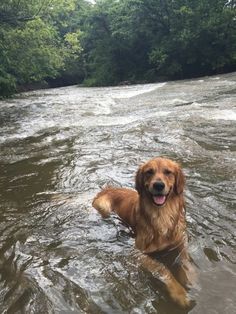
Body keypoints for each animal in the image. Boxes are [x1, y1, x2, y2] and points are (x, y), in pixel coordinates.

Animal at [92, 158, 195, 308]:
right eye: (149, 172)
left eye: (168, 172)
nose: (158, 185)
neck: (162, 215)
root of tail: (107, 189)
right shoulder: (139, 253)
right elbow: (162, 268)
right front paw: (179, 293)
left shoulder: (180, 244)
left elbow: (185, 262)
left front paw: (190, 279)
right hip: (104, 207)